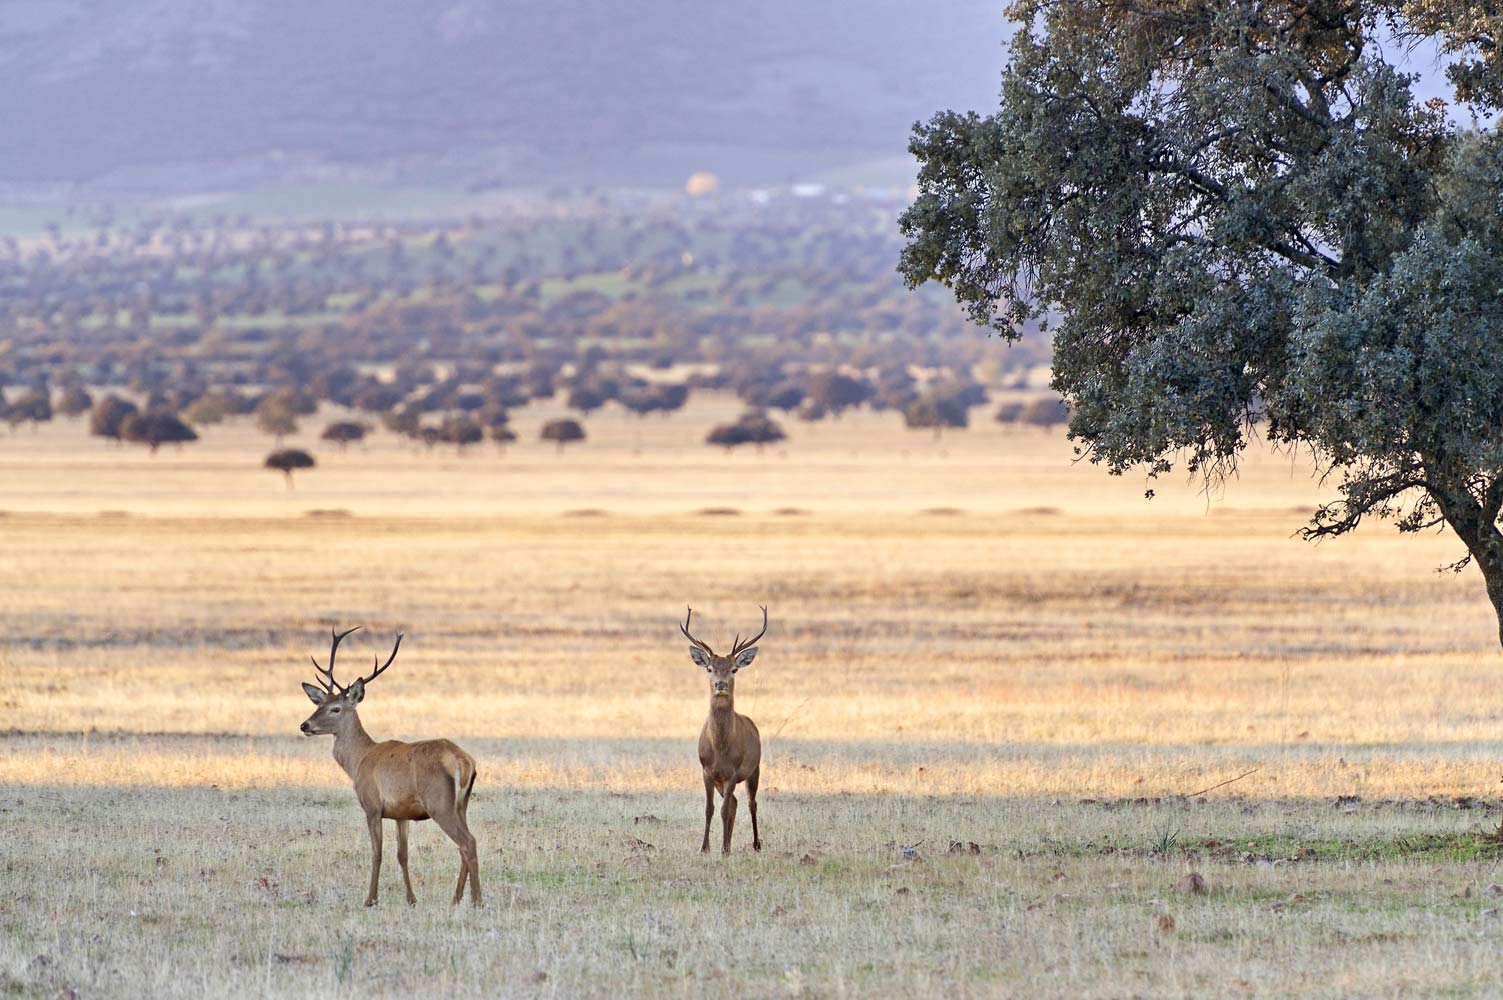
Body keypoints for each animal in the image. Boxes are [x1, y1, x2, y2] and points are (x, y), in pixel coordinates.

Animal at [294, 628, 477, 908]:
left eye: (336, 708)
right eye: (318, 705)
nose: (305, 725)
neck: (359, 761)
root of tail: (463, 761)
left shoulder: (371, 805)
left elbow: (376, 852)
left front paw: (370, 899)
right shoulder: (401, 813)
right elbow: (403, 854)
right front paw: (411, 899)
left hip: (439, 802)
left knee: (468, 842)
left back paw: (477, 900)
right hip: (461, 804)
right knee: (463, 845)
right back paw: (456, 899)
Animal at [688, 604, 769, 854]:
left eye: (734, 669)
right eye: (709, 668)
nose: (721, 684)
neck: (721, 747)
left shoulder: (733, 771)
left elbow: (724, 810)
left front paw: (723, 849)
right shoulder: (706, 771)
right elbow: (710, 809)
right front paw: (705, 848)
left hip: (754, 769)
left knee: (751, 803)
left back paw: (755, 844)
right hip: (721, 781)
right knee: (733, 802)